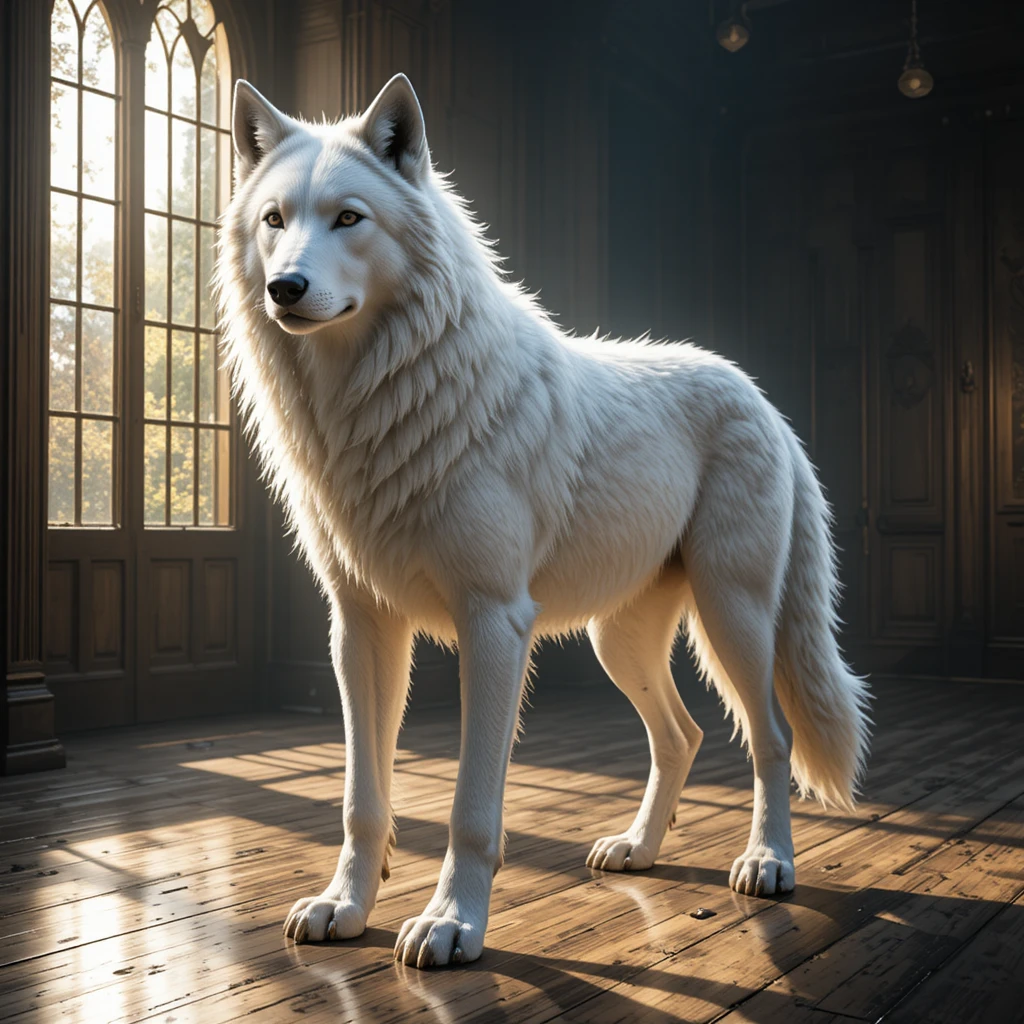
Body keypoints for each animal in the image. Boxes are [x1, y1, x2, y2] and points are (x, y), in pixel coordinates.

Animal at [218, 73, 870, 969]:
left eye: (349, 218)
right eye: (275, 221)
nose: (284, 288)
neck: (378, 402)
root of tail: (761, 396)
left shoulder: (493, 623)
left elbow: (469, 807)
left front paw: (452, 924)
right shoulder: (359, 627)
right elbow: (362, 798)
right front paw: (344, 906)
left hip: (733, 616)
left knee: (769, 738)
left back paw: (767, 862)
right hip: (616, 640)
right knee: (682, 737)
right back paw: (638, 850)